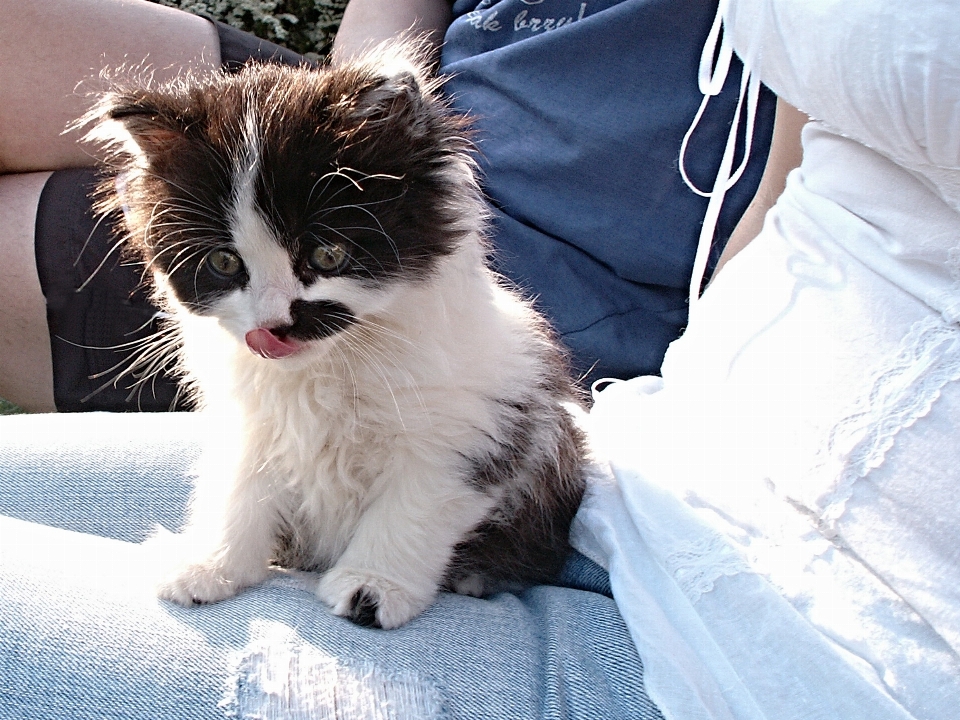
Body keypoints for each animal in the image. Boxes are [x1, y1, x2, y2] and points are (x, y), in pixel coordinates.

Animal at [86, 46, 584, 632]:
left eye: (327, 255)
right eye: (224, 262)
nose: (272, 324)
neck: (326, 366)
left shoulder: (471, 431)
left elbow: (409, 512)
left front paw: (373, 586)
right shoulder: (253, 426)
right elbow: (238, 492)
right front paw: (211, 564)